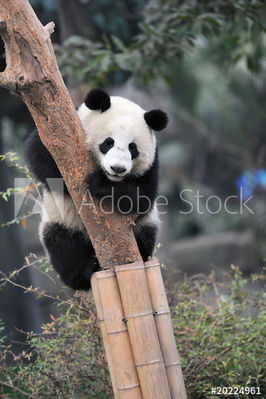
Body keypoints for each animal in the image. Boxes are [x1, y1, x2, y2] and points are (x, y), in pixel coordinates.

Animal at [26, 89, 168, 290]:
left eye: (133, 148)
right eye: (108, 142)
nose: (117, 168)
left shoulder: (151, 166)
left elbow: (143, 199)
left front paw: (100, 184)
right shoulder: (57, 133)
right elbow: (40, 158)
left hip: (145, 226)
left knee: (145, 237)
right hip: (62, 221)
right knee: (63, 245)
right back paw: (84, 271)